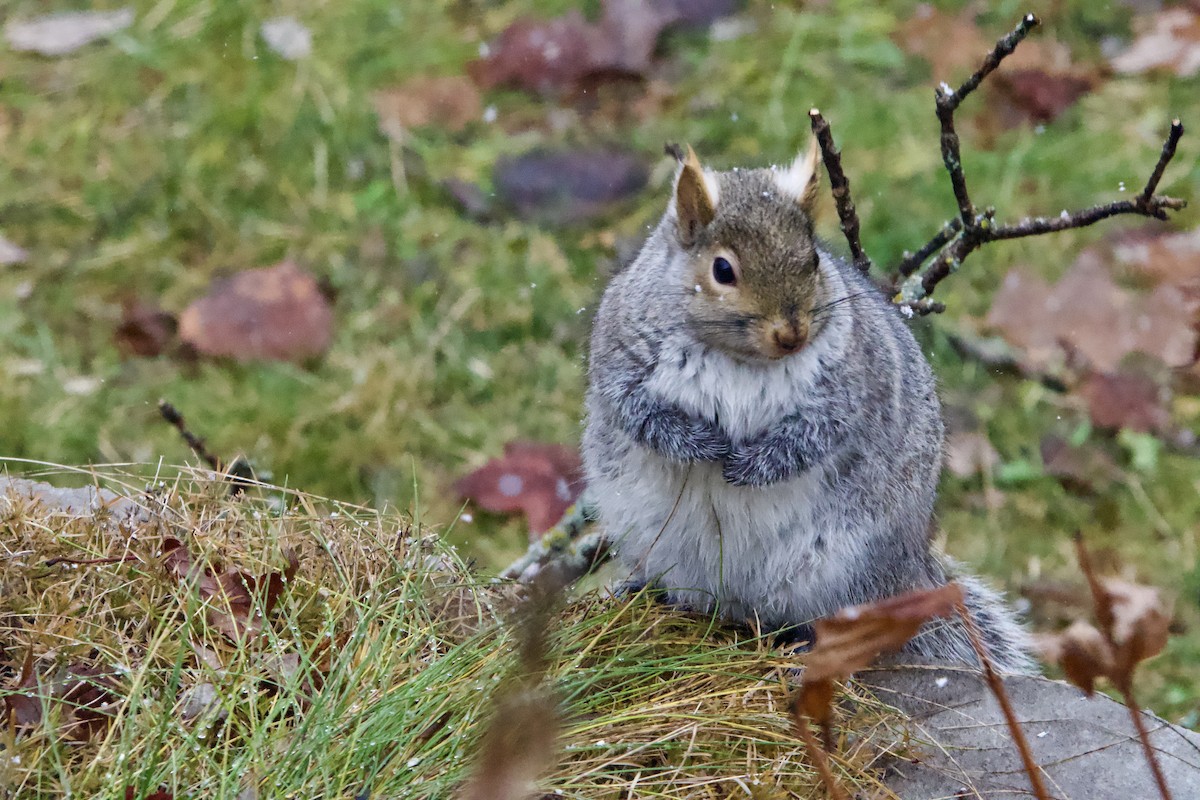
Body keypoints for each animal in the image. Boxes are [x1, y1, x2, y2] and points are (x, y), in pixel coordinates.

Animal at [581, 141, 1034, 674]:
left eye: (814, 260)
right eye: (722, 270)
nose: (791, 334)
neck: (742, 359)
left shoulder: (850, 385)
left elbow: (813, 437)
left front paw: (751, 466)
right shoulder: (622, 358)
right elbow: (639, 413)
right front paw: (702, 445)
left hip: (843, 567)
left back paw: (808, 651)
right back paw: (644, 591)